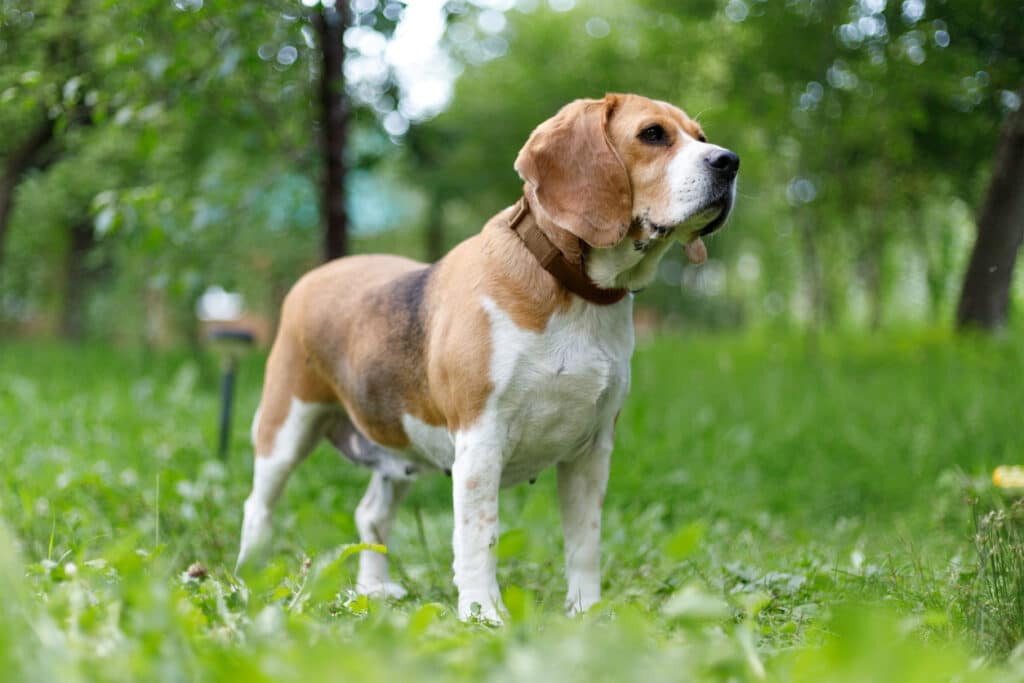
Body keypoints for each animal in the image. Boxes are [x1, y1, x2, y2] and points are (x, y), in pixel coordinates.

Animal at [236, 93, 741, 622]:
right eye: (653, 134)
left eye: (701, 138)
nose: (729, 161)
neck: (572, 290)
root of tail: (316, 275)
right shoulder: (480, 441)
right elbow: (480, 535)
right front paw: (483, 614)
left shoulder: (592, 449)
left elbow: (584, 542)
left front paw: (586, 611)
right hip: (285, 429)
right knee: (258, 508)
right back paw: (249, 582)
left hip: (399, 447)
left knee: (370, 514)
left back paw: (373, 590)